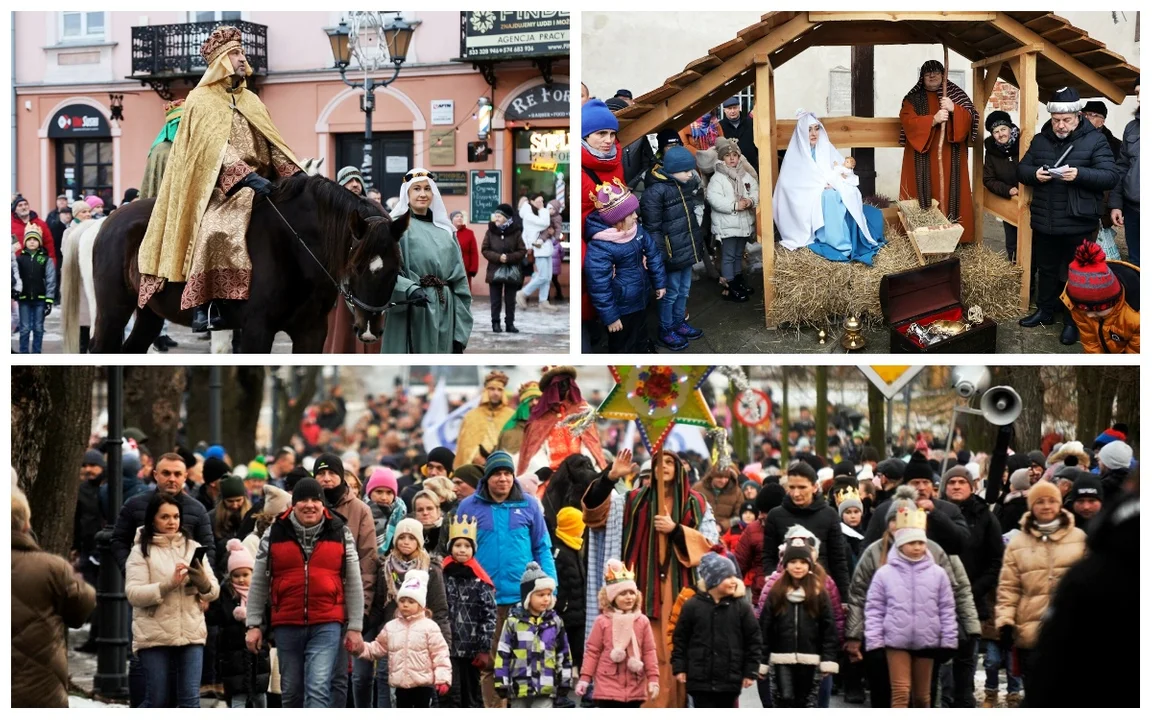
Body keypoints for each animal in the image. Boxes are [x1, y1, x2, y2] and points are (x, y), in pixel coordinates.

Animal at [84, 173, 400, 354]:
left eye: (396, 270)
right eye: (356, 266)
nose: (369, 330)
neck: (294, 248)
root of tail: (110, 220)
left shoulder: (311, 331)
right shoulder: (256, 330)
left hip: (149, 312)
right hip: (114, 309)